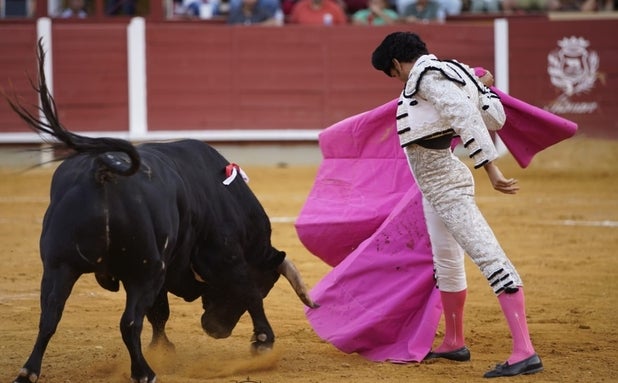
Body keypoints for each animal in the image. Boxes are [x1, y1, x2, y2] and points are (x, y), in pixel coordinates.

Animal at [6, 39, 318, 383]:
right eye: (268, 284)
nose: (216, 330)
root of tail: (102, 171)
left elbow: (160, 312)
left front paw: (164, 349)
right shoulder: (224, 255)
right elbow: (246, 291)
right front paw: (263, 342)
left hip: (60, 265)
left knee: (50, 314)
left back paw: (29, 371)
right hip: (143, 269)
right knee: (128, 321)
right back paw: (144, 371)